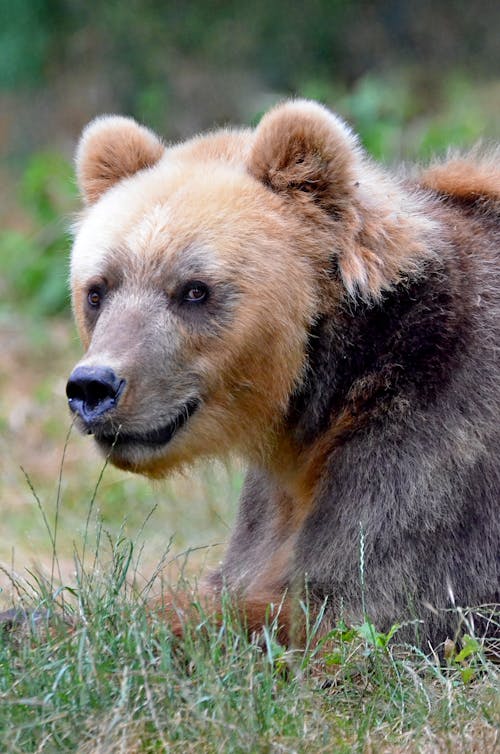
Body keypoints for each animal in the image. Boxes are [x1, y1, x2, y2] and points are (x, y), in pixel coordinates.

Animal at [65, 101, 500, 648]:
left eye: (194, 289)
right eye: (97, 290)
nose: (93, 387)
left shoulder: (439, 445)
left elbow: (359, 607)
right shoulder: (273, 497)